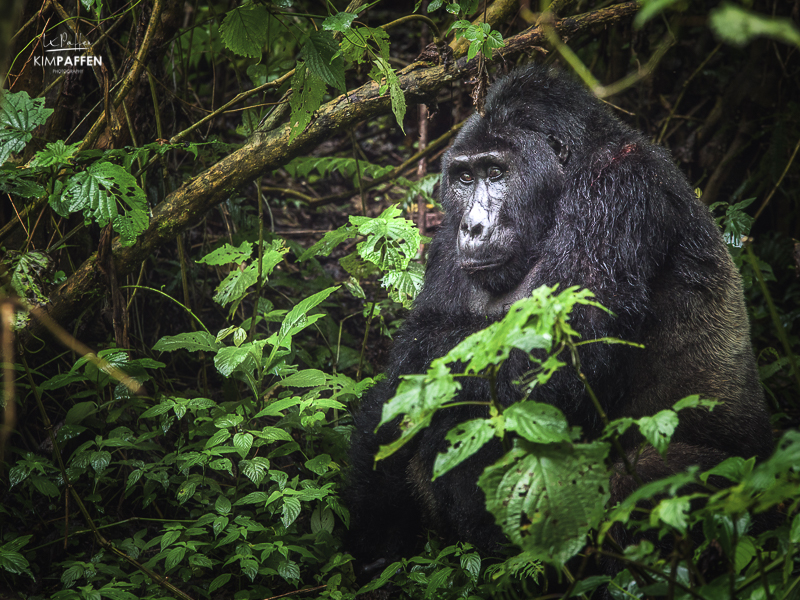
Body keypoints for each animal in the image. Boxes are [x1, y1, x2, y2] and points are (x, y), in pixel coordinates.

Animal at [346, 64, 776, 572]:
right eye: (464, 178)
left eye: (496, 172)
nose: (474, 227)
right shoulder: (448, 236)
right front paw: (374, 523)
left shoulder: (618, 188)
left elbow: (556, 355)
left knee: (658, 478)